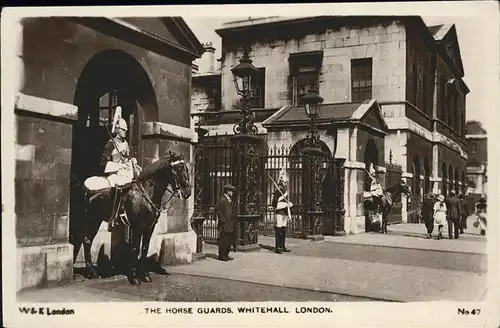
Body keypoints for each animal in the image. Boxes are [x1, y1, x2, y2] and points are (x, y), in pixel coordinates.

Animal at [71, 151, 192, 284]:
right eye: (177, 169)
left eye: (186, 168)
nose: (187, 192)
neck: (146, 194)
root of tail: (84, 187)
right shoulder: (137, 227)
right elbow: (135, 248)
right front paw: (134, 277)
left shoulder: (149, 228)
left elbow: (144, 248)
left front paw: (145, 275)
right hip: (92, 219)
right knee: (86, 240)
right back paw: (92, 272)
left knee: (87, 240)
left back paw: (92, 271)